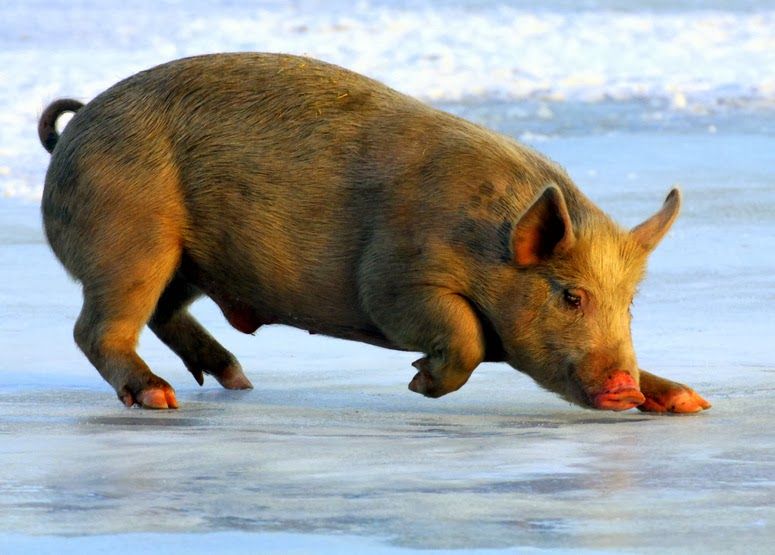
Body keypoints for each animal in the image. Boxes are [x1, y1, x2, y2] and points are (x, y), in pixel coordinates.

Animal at [37, 53, 710, 413]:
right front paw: (416, 382)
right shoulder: (393, 282)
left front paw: (687, 401)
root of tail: (75, 127)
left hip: (186, 260)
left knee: (161, 312)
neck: (488, 248)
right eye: (571, 296)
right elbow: (463, 334)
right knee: (96, 326)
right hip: (129, 234)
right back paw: (160, 397)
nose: (623, 386)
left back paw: (237, 380)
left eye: (630, 305)